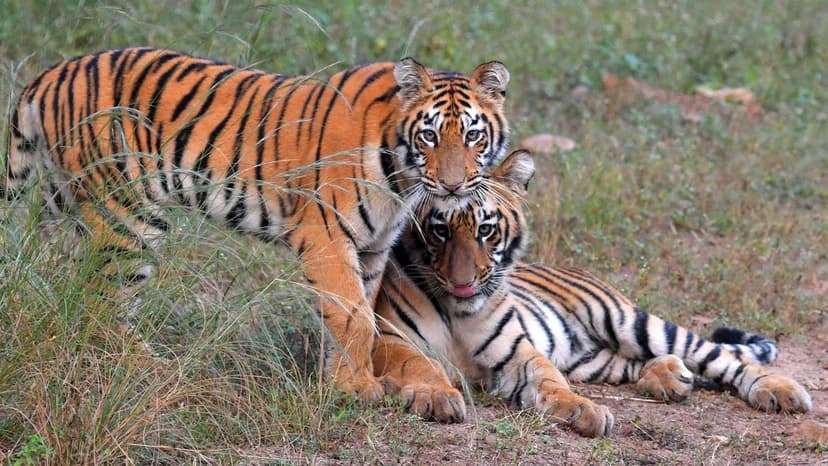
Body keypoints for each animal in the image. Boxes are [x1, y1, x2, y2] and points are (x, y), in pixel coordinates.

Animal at [2, 47, 512, 402]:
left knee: (58, 281)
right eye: (428, 136)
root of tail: (50, 74)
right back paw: (147, 368)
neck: (402, 177)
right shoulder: (327, 236)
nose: (452, 186)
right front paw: (357, 389)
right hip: (128, 216)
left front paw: (341, 381)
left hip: (66, 207)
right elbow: (353, 316)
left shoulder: (371, 249)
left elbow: (356, 316)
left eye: (473, 135)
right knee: (101, 302)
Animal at [373, 149, 813, 437]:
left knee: (722, 358)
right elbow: (420, 364)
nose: (463, 283)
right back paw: (669, 378)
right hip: (595, 360)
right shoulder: (390, 338)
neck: (458, 310)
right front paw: (437, 397)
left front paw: (581, 410)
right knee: (647, 364)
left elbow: (549, 379)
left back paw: (781, 391)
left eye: (486, 229)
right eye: (439, 230)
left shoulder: (516, 353)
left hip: (631, 321)